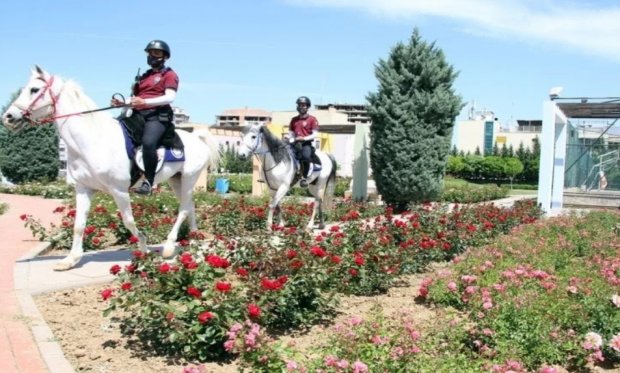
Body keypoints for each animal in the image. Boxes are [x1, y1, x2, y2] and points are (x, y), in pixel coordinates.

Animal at [1, 66, 220, 270]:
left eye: (34, 89)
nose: (8, 117)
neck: (94, 139)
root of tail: (198, 138)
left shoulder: (119, 190)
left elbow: (128, 221)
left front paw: (144, 248)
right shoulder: (83, 188)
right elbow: (78, 224)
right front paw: (71, 259)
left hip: (190, 178)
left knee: (183, 208)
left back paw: (168, 246)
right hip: (176, 179)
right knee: (190, 206)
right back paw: (193, 239)